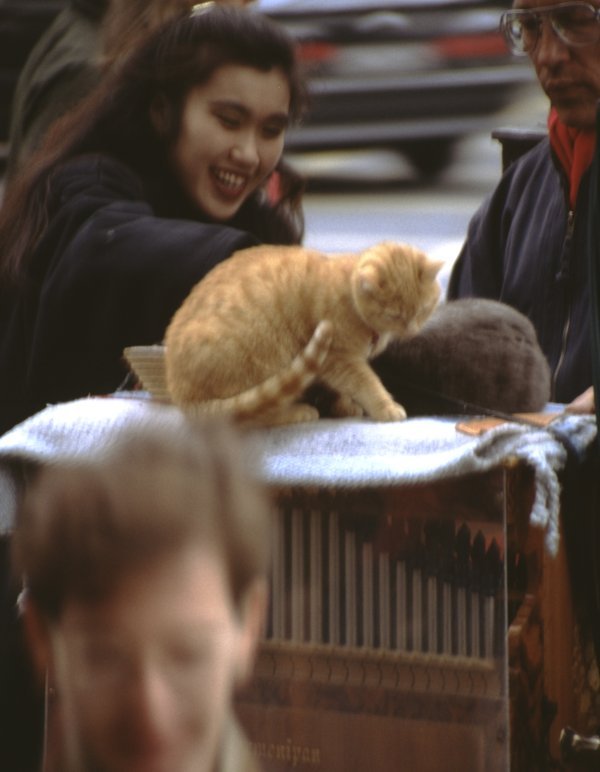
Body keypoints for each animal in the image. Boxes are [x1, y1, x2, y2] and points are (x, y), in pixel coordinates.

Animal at [164, 241, 440, 426]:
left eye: (422, 310)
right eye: (395, 315)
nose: (411, 330)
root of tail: (182, 398)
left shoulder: (336, 365)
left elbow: (342, 389)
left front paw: (344, 406)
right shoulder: (340, 358)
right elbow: (368, 384)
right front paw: (386, 407)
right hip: (268, 355)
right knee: (254, 415)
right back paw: (298, 412)